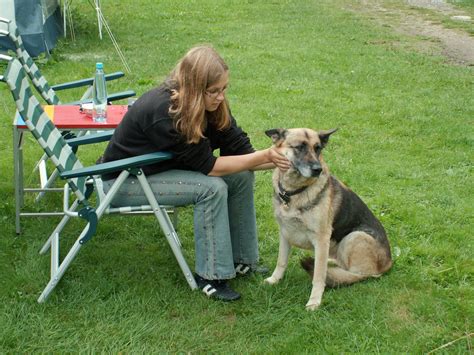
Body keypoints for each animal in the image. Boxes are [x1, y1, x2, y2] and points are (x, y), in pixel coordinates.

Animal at [262, 129, 392, 312]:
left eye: (318, 148)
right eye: (299, 147)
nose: (318, 169)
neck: (294, 192)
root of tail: (389, 262)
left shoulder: (321, 238)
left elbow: (318, 276)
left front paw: (314, 301)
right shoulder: (285, 233)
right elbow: (281, 262)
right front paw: (275, 280)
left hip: (355, 236)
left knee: (353, 275)